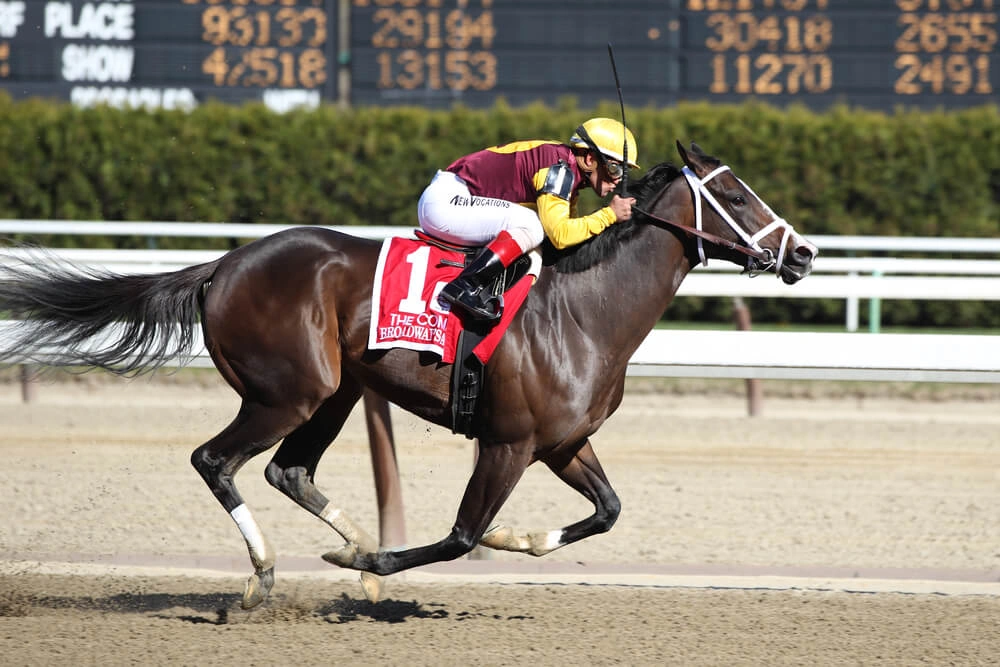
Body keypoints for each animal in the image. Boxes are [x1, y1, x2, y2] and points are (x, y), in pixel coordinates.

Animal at [0, 141, 817, 608]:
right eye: (735, 194)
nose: (804, 253)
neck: (584, 313)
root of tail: (223, 265)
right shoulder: (508, 443)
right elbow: (459, 535)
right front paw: (388, 560)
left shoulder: (561, 444)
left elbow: (608, 510)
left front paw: (515, 539)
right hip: (286, 392)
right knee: (215, 460)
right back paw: (266, 573)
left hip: (334, 392)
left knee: (288, 471)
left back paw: (345, 545)